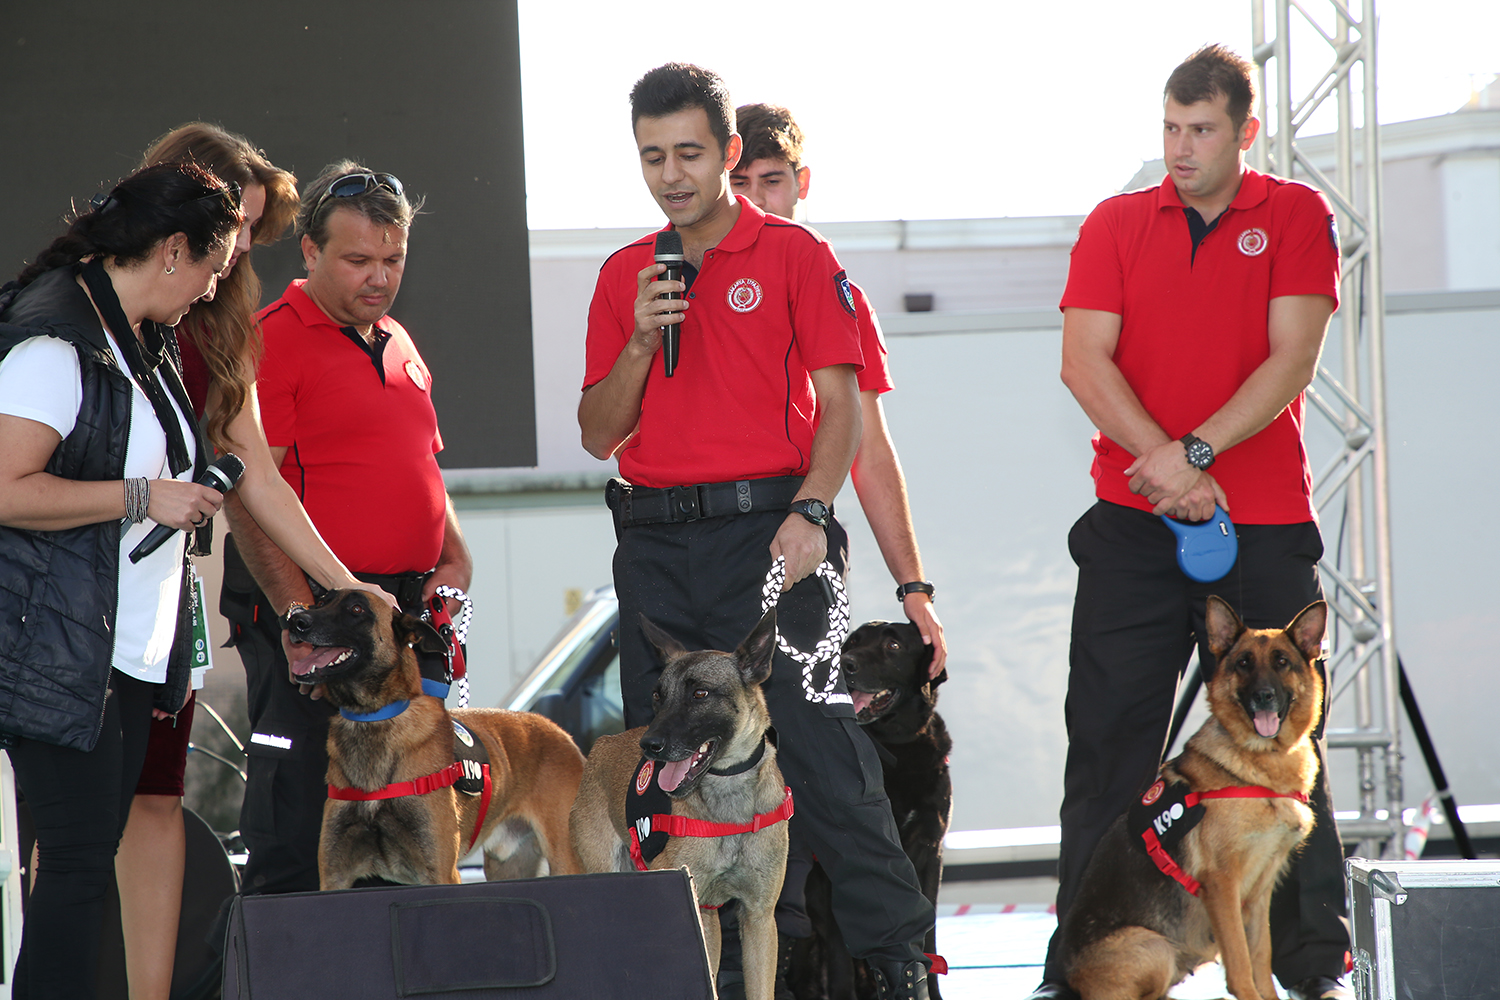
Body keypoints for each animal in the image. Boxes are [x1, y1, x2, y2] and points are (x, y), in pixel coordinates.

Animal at [282, 590, 585, 887]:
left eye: (357, 609)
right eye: (321, 601)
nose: (296, 620)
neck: (371, 718)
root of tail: (557, 729)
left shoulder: (440, 873)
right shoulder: (335, 876)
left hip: (564, 859)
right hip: (509, 866)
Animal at [567, 611, 792, 1000]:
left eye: (700, 694)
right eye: (658, 696)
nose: (649, 745)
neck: (728, 802)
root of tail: (602, 743)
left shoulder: (758, 919)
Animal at [792, 620, 954, 995]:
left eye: (893, 646)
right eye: (851, 642)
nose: (845, 663)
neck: (895, 748)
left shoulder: (931, 852)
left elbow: (928, 937)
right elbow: (841, 959)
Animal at [1056, 599, 1326, 1000]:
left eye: (1281, 662)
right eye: (1243, 663)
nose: (1263, 696)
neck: (1258, 767)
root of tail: (1072, 981)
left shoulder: (1259, 893)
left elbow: (1261, 958)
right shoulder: (1222, 884)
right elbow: (1241, 963)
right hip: (1154, 947)